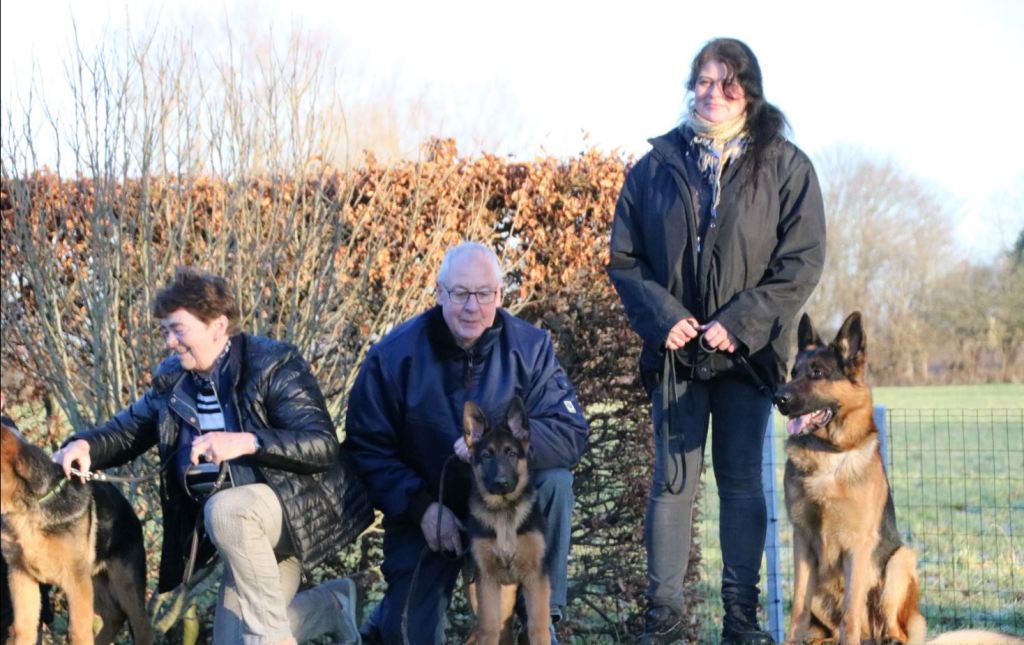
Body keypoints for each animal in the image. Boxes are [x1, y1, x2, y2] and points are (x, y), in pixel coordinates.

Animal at [0, 413, 152, 644]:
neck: (30, 507)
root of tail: (130, 509)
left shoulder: (76, 580)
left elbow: (78, 631)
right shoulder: (21, 576)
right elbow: (22, 629)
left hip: (124, 584)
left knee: (141, 625)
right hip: (97, 583)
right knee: (114, 616)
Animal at [463, 398, 551, 645]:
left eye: (511, 453)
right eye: (486, 455)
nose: (501, 483)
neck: (503, 511)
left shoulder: (536, 578)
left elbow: (538, 627)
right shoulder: (487, 581)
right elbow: (489, 629)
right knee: (482, 632)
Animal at [776, 312, 1021, 645]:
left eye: (817, 373)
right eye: (793, 372)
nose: (778, 398)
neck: (828, 454)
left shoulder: (858, 545)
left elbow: (851, 612)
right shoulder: (802, 541)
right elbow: (798, 608)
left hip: (900, 561)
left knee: (893, 629)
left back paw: (888, 637)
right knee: (829, 626)